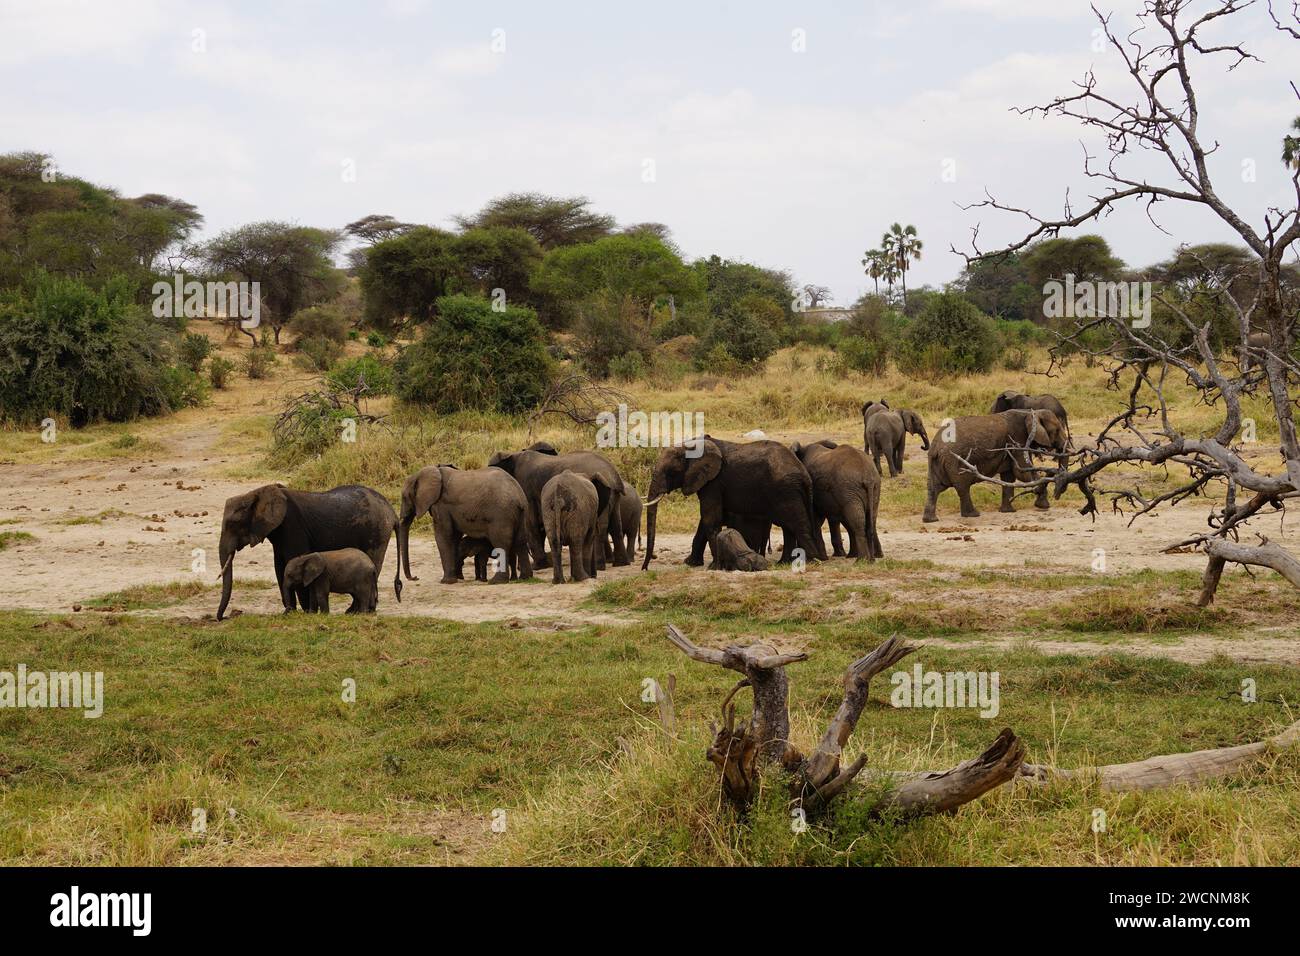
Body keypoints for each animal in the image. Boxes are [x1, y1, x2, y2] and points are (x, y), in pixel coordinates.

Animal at [217, 486, 395, 621]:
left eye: (233, 523)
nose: (223, 617)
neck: (257, 493)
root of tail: (391, 510)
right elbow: (279, 567)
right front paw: (290, 612)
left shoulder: (292, 525)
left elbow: (294, 560)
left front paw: (307, 612)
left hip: (377, 532)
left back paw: (356, 611)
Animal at [397, 463, 535, 582]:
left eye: (404, 497)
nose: (415, 577)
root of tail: (518, 496)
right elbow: (454, 537)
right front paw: (456, 578)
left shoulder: (441, 505)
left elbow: (443, 536)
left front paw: (446, 581)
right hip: (522, 513)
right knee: (520, 541)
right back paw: (525, 578)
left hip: (501, 515)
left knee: (501, 542)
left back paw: (496, 581)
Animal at [488, 447, 629, 572]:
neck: (513, 455)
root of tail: (613, 474)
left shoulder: (527, 490)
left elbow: (531, 524)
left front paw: (537, 566)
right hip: (613, 496)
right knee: (616, 526)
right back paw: (621, 563)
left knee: (601, 527)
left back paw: (600, 567)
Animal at [642, 439, 832, 567]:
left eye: (671, 471)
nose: (645, 568)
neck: (691, 444)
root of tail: (804, 473)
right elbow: (705, 521)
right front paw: (691, 563)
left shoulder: (713, 482)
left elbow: (710, 519)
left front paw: (715, 567)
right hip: (788, 491)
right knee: (789, 526)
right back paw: (784, 563)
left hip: (785, 490)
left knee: (797, 524)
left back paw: (811, 560)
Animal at [925, 408, 1066, 520]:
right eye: (1057, 430)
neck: (1031, 412)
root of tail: (935, 446)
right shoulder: (1018, 441)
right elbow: (1022, 472)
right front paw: (1043, 505)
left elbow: (1009, 477)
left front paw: (1008, 511)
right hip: (955, 462)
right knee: (963, 487)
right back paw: (973, 515)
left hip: (936, 463)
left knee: (934, 488)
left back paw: (930, 520)